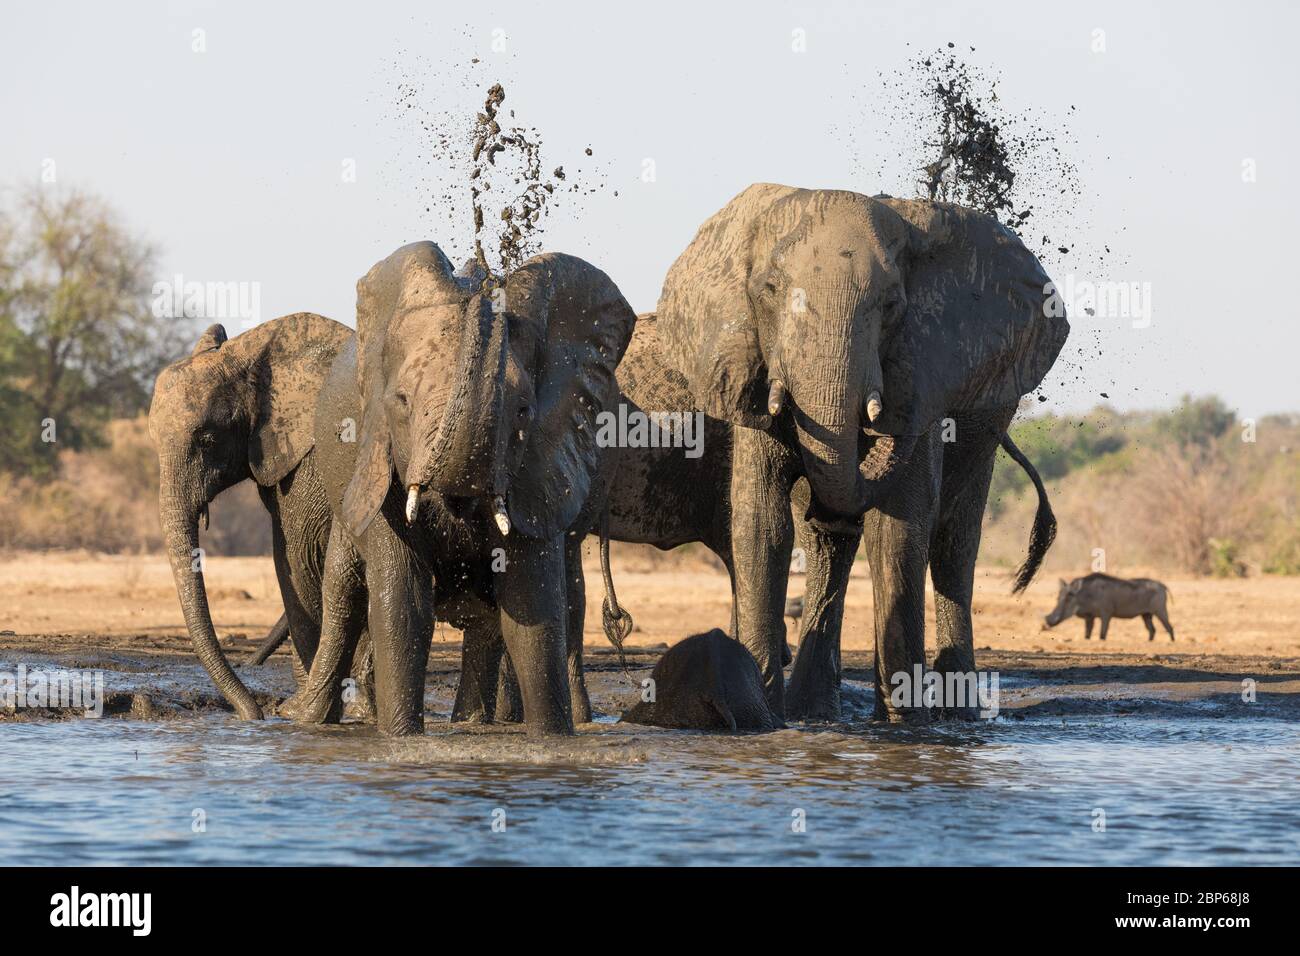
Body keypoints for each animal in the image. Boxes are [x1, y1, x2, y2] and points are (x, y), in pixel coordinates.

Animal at [153, 314, 377, 717]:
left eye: (208, 440)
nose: (253, 714)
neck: (248, 356)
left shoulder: (308, 457)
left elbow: (298, 559)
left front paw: (304, 712)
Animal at [296, 243, 639, 738]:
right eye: (401, 402)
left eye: (523, 410)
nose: (482, 275)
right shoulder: (381, 454)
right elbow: (402, 605)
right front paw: (400, 739)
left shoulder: (540, 465)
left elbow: (532, 610)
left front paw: (551, 740)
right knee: (343, 600)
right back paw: (307, 721)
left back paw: (473, 722)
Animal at [655, 184, 1071, 717]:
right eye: (768, 290)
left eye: (892, 304)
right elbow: (762, 523)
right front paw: (764, 714)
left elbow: (898, 530)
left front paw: (903, 723)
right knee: (827, 546)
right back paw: (812, 711)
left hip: (991, 418)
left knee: (953, 544)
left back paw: (957, 716)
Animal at [1040, 574, 1175, 642]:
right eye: (1058, 597)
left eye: (1069, 597)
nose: (1048, 621)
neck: (1086, 594)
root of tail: (1162, 585)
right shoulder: (1089, 617)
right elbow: (1087, 634)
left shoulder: (1106, 614)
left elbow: (1102, 634)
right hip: (1146, 615)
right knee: (1152, 630)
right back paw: (1149, 642)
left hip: (1160, 610)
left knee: (1169, 627)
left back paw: (1171, 642)